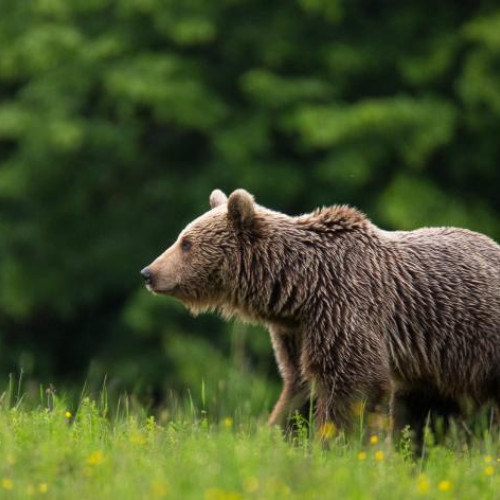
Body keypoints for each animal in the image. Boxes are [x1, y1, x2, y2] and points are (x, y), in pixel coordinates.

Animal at [140, 188, 500, 438]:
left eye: (186, 243)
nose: (148, 272)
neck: (301, 285)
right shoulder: (298, 330)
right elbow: (301, 386)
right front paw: (276, 433)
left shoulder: (346, 308)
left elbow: (353, 384)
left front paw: (335, 442)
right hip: (441, 363)